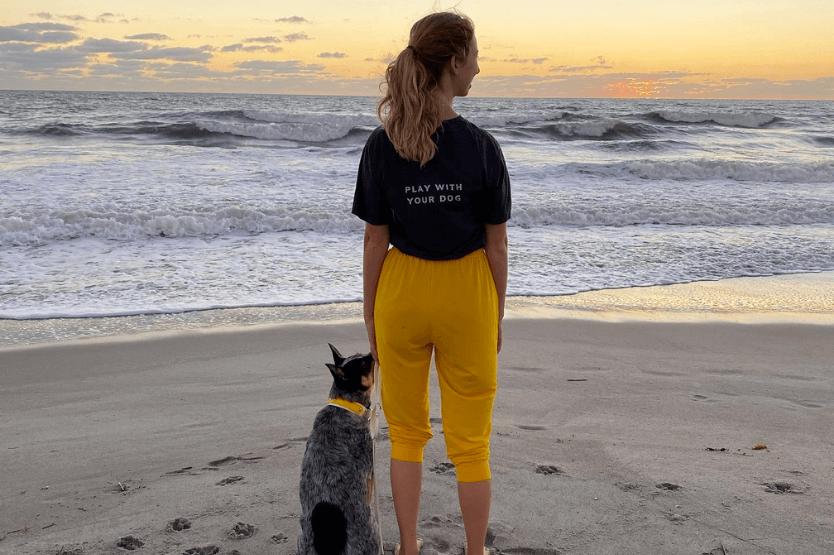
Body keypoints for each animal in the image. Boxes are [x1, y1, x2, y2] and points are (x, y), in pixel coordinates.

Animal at [296, 344, 380, 555]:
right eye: (364, 363)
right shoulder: (370, 473)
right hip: (373, 532)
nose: (373, 350)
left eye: (361, 356)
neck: (345, 405)